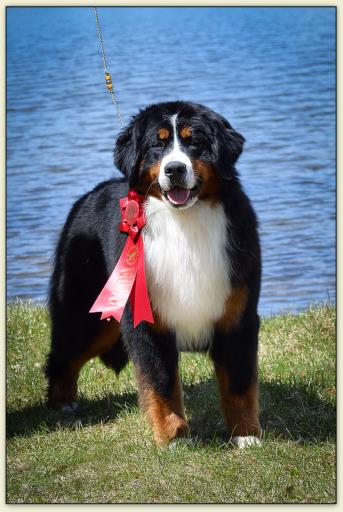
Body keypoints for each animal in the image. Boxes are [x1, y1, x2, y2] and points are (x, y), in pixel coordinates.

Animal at [44, 100, 262, 448]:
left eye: (193, 142)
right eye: (156, 146)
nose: (174, 169)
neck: (185, 223)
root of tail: (89, 195)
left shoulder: (236, 315)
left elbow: (239, 384)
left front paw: (245, 436)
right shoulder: (147, 320)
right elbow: (160, 382)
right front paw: (173, 437)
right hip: (87, 314)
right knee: (63, 355)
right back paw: (62, 403)